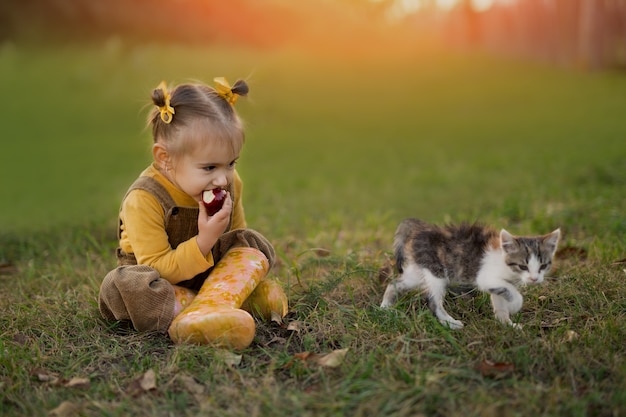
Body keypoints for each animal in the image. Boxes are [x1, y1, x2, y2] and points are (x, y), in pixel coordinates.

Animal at [380, 218, 560, 328]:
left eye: (543, 265)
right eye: (523, 266)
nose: (534, 279)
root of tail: (419, 228)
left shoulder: (498, 284)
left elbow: (500, 300)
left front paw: (506, 324)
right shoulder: (486, 278)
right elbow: (512, 293)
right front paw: (515, 305)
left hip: (419, 271)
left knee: (395, 283)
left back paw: (384, 308)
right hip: (437, 271)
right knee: (432, 300)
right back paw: (450, 323)